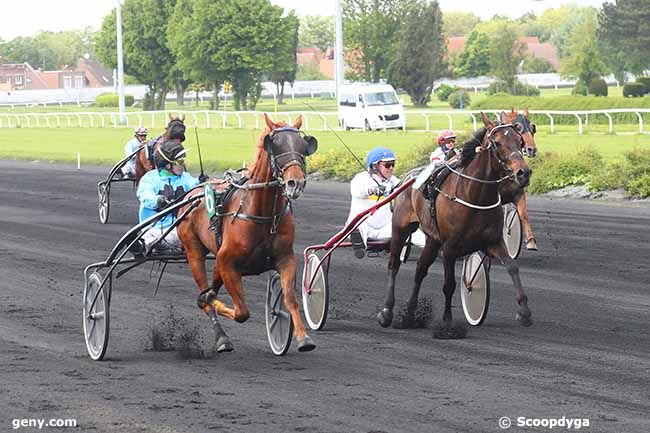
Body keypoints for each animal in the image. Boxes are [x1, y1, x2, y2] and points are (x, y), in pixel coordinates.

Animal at [176, 113, 318, 352]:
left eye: (302, 145)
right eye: (276, 145)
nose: (295, 183)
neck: (262, 215)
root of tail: (193, 191)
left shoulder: (286, 258)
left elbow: (290, 298)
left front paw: (303, 337)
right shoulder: (228, 263)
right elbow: (241, 312)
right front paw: (211, 301)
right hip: (193, 251)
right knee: (206, 295)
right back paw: (221, 335)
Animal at [380, 112, 532, 338]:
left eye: (519, 141)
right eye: (497, 143)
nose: (523, 173)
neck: (475, 195)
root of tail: (408, 178)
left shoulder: (493, 241)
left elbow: (512, 267)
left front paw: (524, 312)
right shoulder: (450, 248)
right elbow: (449, 284)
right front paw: (447, 324)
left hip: (432, 240)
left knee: (420, 269)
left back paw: (409, 314)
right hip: (401, 227)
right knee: (394, 265)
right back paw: (386, 312)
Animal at [498, 107, 540, 250]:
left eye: (533, 128)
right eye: (517, 127)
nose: (531, 149)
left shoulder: (518, 192)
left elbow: (523, 214)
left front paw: (531, 241)